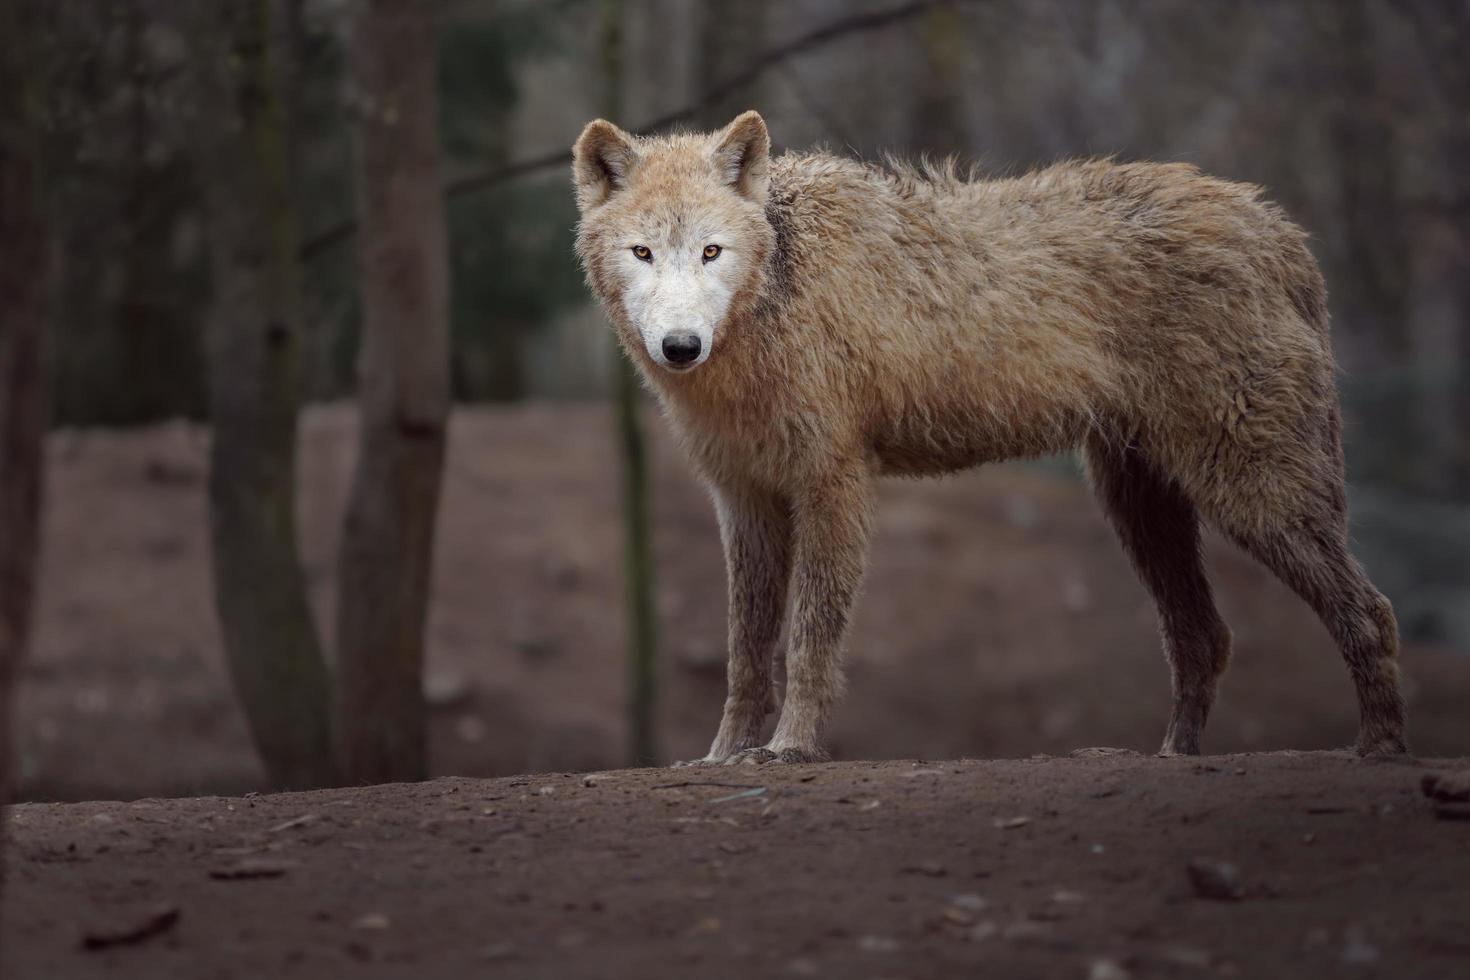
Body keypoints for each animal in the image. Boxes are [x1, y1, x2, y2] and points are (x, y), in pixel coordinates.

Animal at [567, 109, 1405, 764]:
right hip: (1140, 508)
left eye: (711, 251)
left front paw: (790, 748)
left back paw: (1380, 749)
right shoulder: (745, 501)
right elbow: (746, 654)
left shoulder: (833, 482)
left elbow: (810, 640)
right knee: (1207, 637)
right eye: (643, 252)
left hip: (1252, 498)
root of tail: (1281, 229)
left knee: (1370, 612)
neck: (772, 301)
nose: (680, 346)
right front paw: (723, 756)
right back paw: (1177, 757)